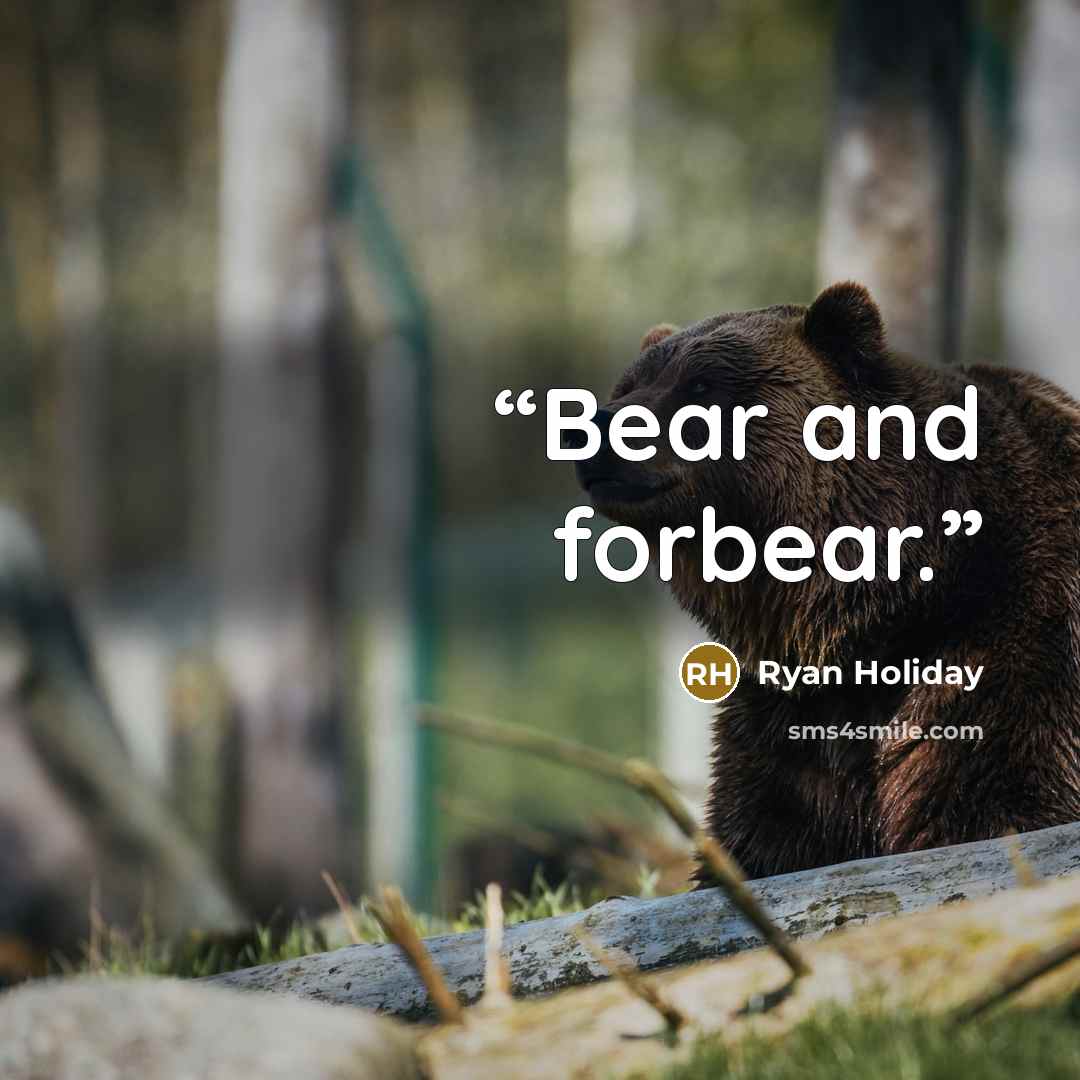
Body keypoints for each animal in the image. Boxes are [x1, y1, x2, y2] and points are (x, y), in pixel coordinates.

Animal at [576, 281, 1080, 880]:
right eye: (629, 385)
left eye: (699, 386)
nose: (593, 428)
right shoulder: (787, 722)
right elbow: (766, 835)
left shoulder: (1017, 642)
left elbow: (996, 799)